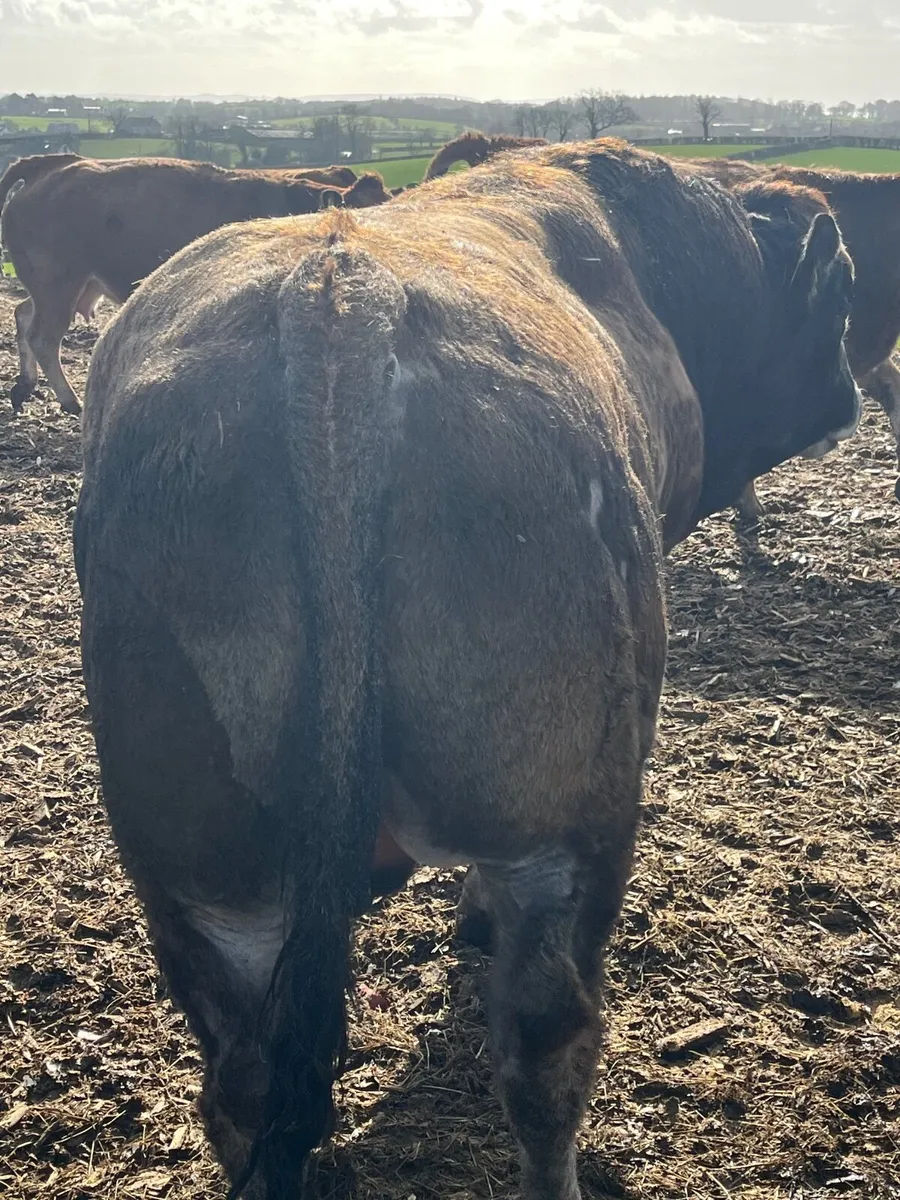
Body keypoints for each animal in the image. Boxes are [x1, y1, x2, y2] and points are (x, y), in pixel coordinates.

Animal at [0, 156, 390, 416]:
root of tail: (49, 166)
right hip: (58, 284)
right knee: (43, 338)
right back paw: (70, 400)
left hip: (68, 286)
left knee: (22, 315)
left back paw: (25, 386)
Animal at [75, 139, 858, 1200]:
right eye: (841, 300)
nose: (850, 397)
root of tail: (336, 303)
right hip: (564, 823)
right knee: (546, 1043)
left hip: (206, 876)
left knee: (243, 1085)